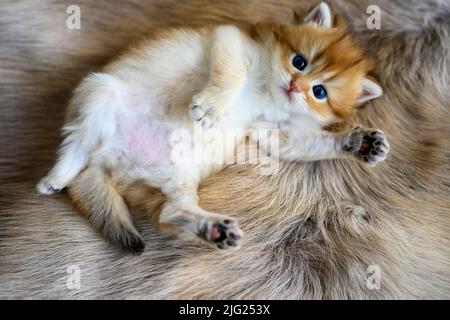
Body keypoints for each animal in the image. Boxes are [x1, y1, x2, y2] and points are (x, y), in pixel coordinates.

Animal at [37, 1, 388, 252]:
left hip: (180, 174)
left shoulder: (272, 130)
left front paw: (359, 143)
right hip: (100, 91)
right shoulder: (231, 40)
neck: (267, 90)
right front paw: (209, 108)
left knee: (170, 213)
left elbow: (308, 143)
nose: (294, 86)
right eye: (299, 61)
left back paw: (214, 230)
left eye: (320, 92)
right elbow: (232, 74)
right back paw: (55, 178)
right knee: (78, 146)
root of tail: (113, 160)